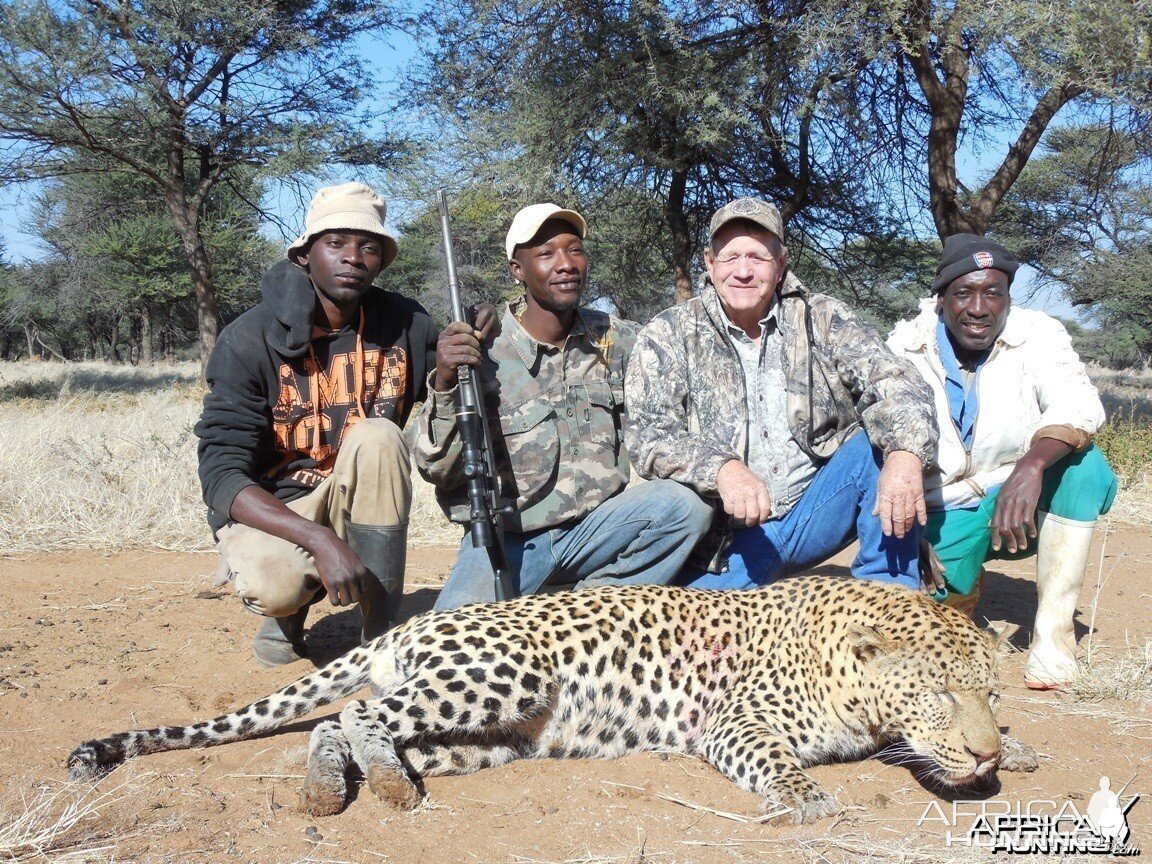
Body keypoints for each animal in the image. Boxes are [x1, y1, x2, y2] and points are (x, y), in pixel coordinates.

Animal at [67, 576, 1041, 824]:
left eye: (990, 695)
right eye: (939, 698)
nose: (985, 751)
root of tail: (407, 627)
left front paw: (1017, 752)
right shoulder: (735, 721)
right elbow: (777, 760)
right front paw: (808, 801)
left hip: (492, 736)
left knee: (350, 729)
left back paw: (338, 785)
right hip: (508, 672)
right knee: (356, 714)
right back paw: (374, 789)